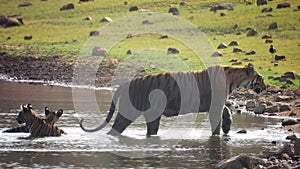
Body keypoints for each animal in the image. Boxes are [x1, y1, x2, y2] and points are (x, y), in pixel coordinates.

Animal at [79, 63, 264, 136]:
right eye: (260, 78)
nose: (266, 86)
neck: (234, 78)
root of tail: (125, 84)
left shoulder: (217, 104)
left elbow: (227, 110)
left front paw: (227, 126)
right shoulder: (214, 106)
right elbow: (216, 123)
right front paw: (218, 134)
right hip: (132, 112)